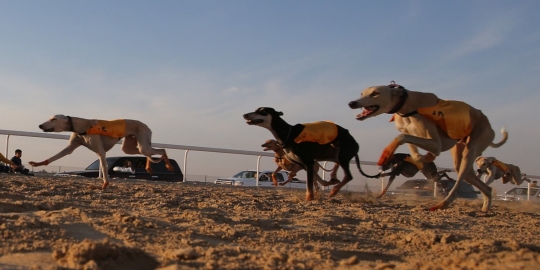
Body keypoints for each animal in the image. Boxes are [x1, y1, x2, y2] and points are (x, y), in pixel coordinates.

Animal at [29, 115, 173, 189]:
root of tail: (146, 125)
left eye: (53, 119)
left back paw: (168, 165)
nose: (40, 125)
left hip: (143, 144)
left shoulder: (101, 152)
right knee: (149, 153)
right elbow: (53, 157)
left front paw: (105, 184)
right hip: (129, 147)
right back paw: (149, 168)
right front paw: (36, 163)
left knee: (162, 150)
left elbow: (104, 168)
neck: (81, 125)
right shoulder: (69, 148)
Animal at [245, 107, 380, 200]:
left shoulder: (308, 162)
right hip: (331, 153)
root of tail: (356, 143)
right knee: (336, 165)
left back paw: (334, 190)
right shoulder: (304, 164)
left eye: (262, 111)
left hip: (342, 153)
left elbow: (310, 185)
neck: (289, 133)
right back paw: (333, 178)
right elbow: (318, 180)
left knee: (348, 176)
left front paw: (309, 198)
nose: (244, 114)